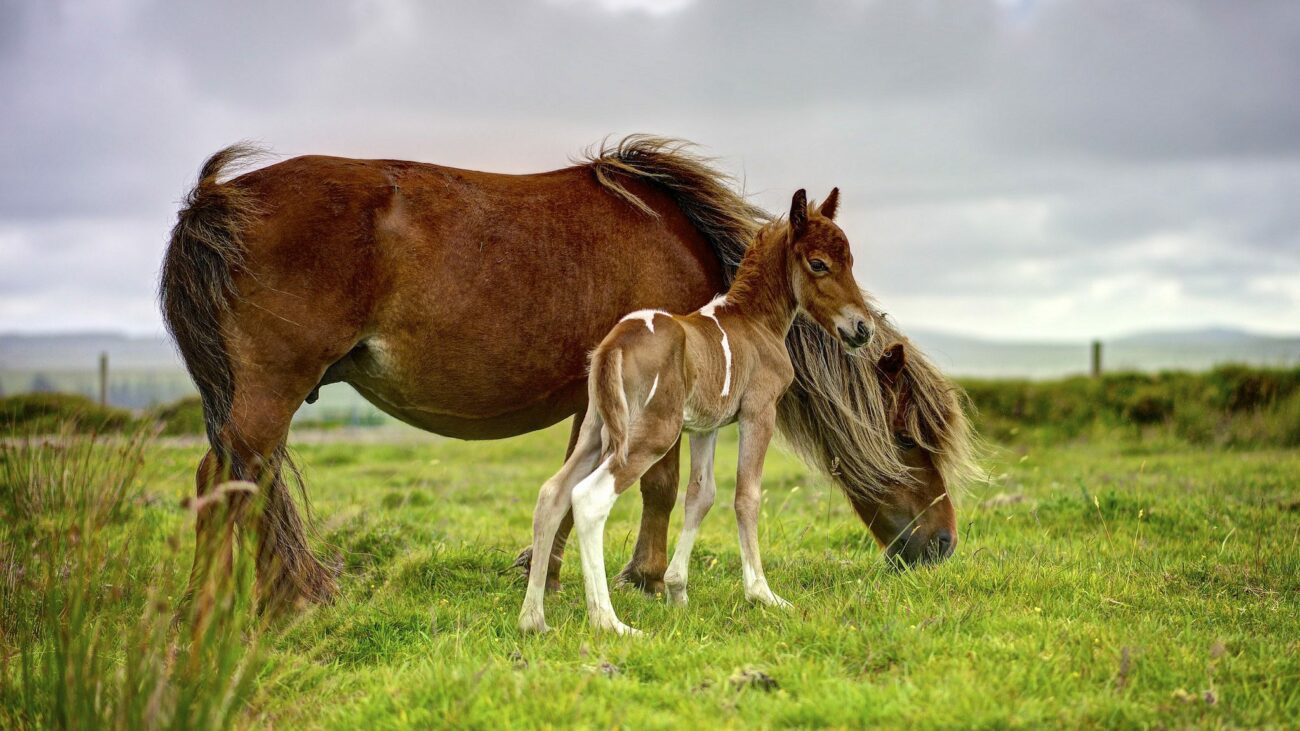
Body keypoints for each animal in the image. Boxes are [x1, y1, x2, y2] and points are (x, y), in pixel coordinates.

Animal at [517, 187, 873, 632]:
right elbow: (746, 496)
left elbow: (701, 496)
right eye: (819, 263)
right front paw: (763, 594)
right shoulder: (759, 412)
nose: (863, 328)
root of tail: (615, 343)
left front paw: (677, 591)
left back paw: (533, 619)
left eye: (851, 261)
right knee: (590, 498)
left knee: (552, 493)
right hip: (651, 434)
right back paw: (609, 622)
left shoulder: (706, 427)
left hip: (598, 430)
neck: (754, 322)